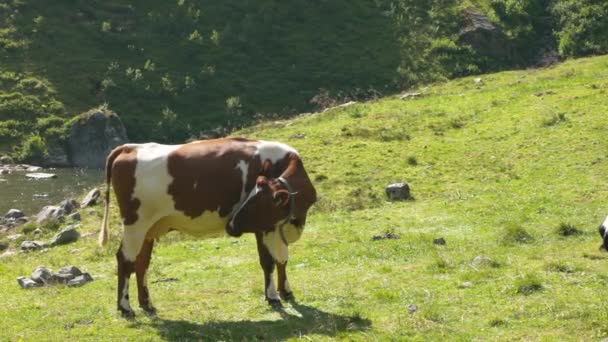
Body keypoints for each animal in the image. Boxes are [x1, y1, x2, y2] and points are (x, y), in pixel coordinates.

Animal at [97, 138, 316, 318]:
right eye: (250, 199)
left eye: (257, 202)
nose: (231, 225)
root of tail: (130, 147)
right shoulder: (264, 227)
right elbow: (268, 261)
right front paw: (272, 297)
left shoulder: (277, 226)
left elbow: (282, 259)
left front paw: (286, 292)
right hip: (135, 223)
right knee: (125, 259)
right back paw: (125, 307)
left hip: (149, 228)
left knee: (141, 263)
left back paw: (147, 304)